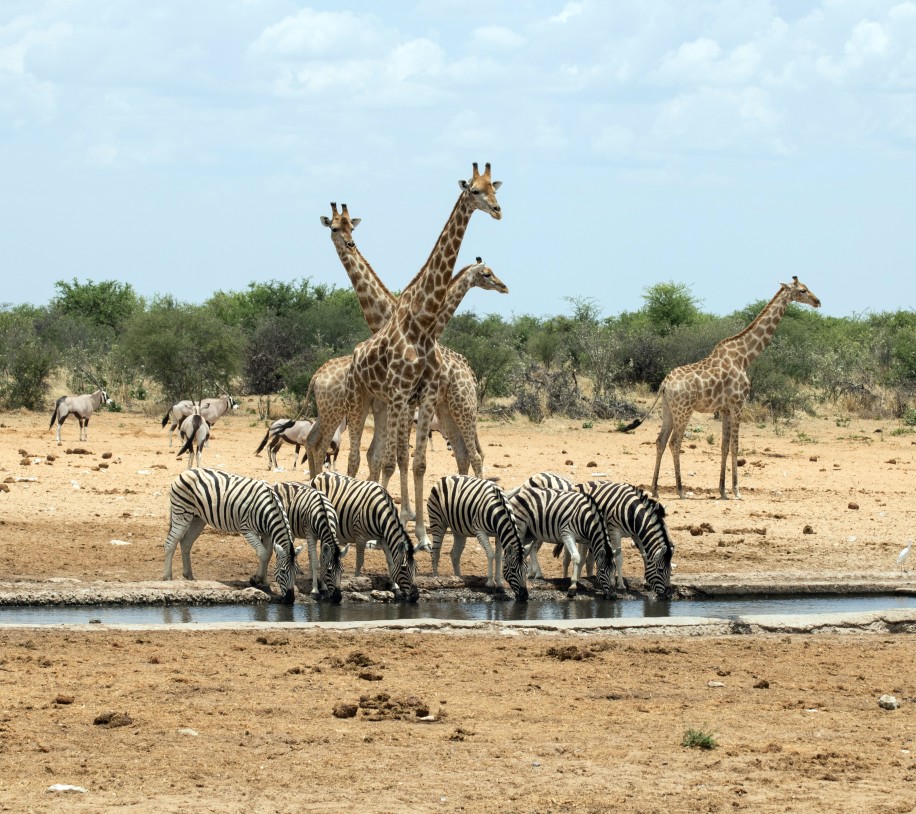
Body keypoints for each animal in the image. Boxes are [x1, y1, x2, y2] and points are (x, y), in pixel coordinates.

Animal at [161, 468, 296, 604]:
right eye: (283, 571)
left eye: (297, 572)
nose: (290, 599)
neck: (268, 511)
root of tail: (186, 472)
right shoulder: (247, 530)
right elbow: (262, 553)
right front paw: (256, 579)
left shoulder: (267, 534)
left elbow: (267, 555)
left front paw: (263, 581)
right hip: (182, 512)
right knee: (170, 542)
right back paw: (167, 577)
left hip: (198, 518)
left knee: (186, 542)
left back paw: (189, 575)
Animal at [312, 472, 418, 600]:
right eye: (404, 568)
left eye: (416, 568)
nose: (415, 596)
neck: (380, 513)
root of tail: (321, 474)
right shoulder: (360, 537)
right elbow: (359, 562)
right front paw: (356, 581)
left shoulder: (383, 538)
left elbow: (390, 562)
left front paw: (395, 587)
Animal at [346, 162, 500, 544]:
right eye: (475, 190)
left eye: (494, 188)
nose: (497, 210)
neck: (424, 323)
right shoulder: (401, 394)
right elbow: (395, 460)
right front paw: (399, 523)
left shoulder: (425, 395)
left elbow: (417, 462)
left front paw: (421, 533)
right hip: (361, 398)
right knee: (357, 454)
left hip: (428, 407)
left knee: (465, 453)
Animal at [428, 474, 528, 604]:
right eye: (513, 570)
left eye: (526, 569)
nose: (525, 596)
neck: (496, 509)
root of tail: (445, 477)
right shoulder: (479, 531)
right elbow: (490, 554)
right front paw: (490, 584)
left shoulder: (498, 534)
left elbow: (498, 557)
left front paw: (499, 585)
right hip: (437, 521)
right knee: (435, 552)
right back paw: (435, 578)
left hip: (458, 530)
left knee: (454, 554)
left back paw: (458, 578)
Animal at [628, 278, 820, 500]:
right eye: (803, 290)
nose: (818, 301)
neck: (744, 357)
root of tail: (664, 384)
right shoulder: (738, 405)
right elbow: (735, 447)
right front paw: (736, 491)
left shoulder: (726, 409)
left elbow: (724, 447)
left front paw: (722, 490)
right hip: (684, 410)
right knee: (674, 443)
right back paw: (681, 490)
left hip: (668, 409)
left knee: (660, 441)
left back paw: (655, 489)